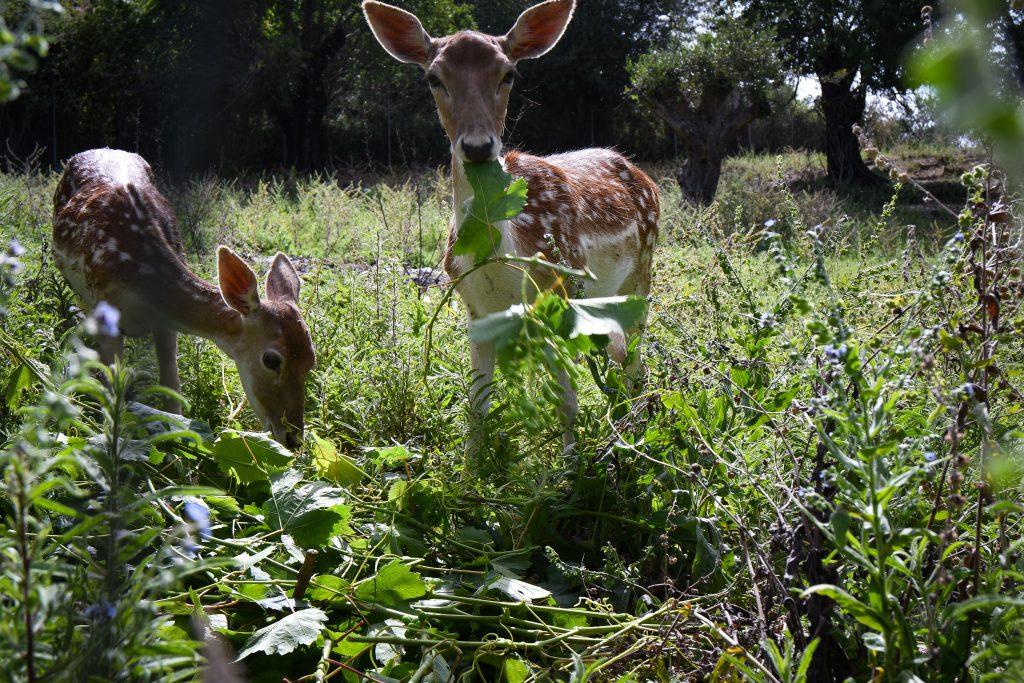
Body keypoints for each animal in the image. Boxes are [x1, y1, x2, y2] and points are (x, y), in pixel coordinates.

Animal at [51, 148, 313, 448]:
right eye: (271, 360)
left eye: (311, 360)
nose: (294, 437)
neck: (141, 280)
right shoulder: (107, 315)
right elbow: (112, 390)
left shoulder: (165, 325)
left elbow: (172, 389)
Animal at [364, 0, 659, 450]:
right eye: (433, 77)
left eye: (509, 74)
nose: (477, 146)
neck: (502, 257)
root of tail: (645, 176)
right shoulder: (474, 307)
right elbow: (476, 408)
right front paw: (471, 466)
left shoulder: (557, 293)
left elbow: (566, 401)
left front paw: (571, 465)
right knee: (622, 353)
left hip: (642, 272)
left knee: (636, 359)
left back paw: (634, 429)